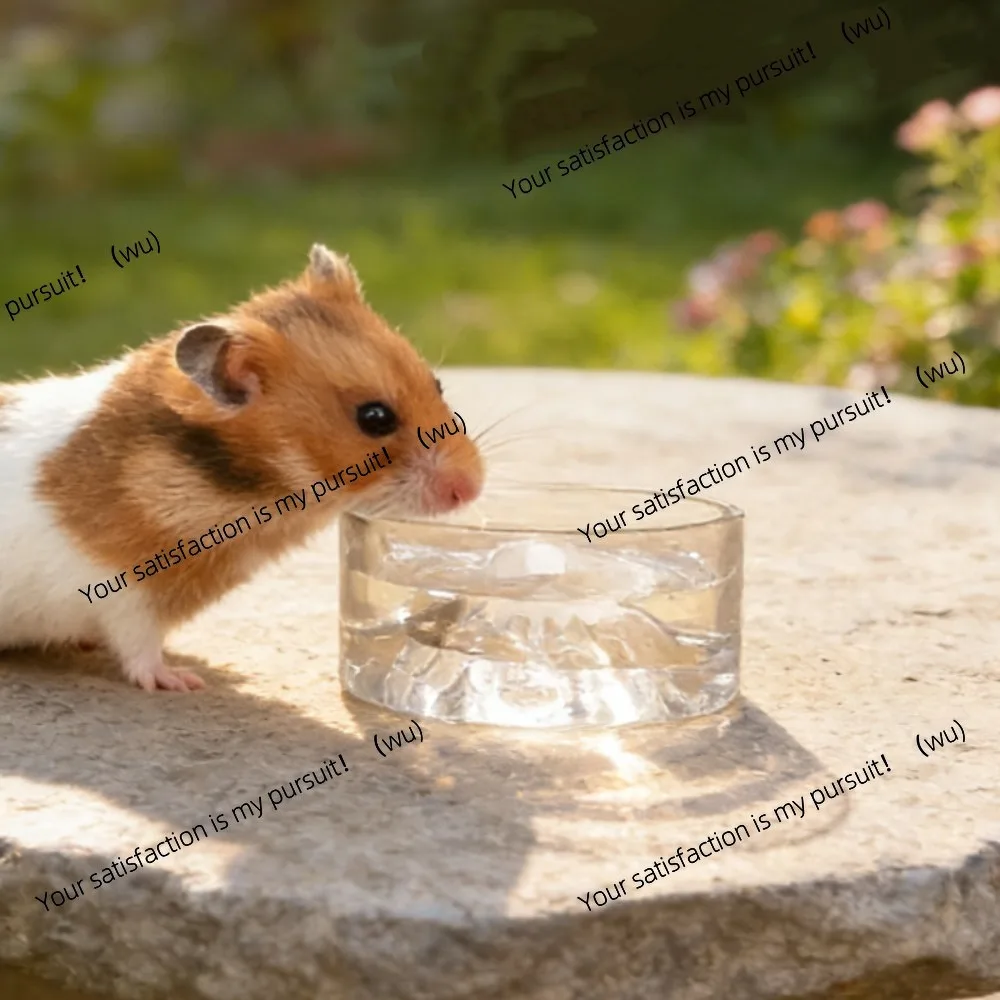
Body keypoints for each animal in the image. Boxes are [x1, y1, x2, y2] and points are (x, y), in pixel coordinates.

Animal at [0, 244, 484, 691]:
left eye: (437, 384)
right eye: (375, 418)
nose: (473, 488)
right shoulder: (126, 594)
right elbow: (139, 646)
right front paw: (183, 681)